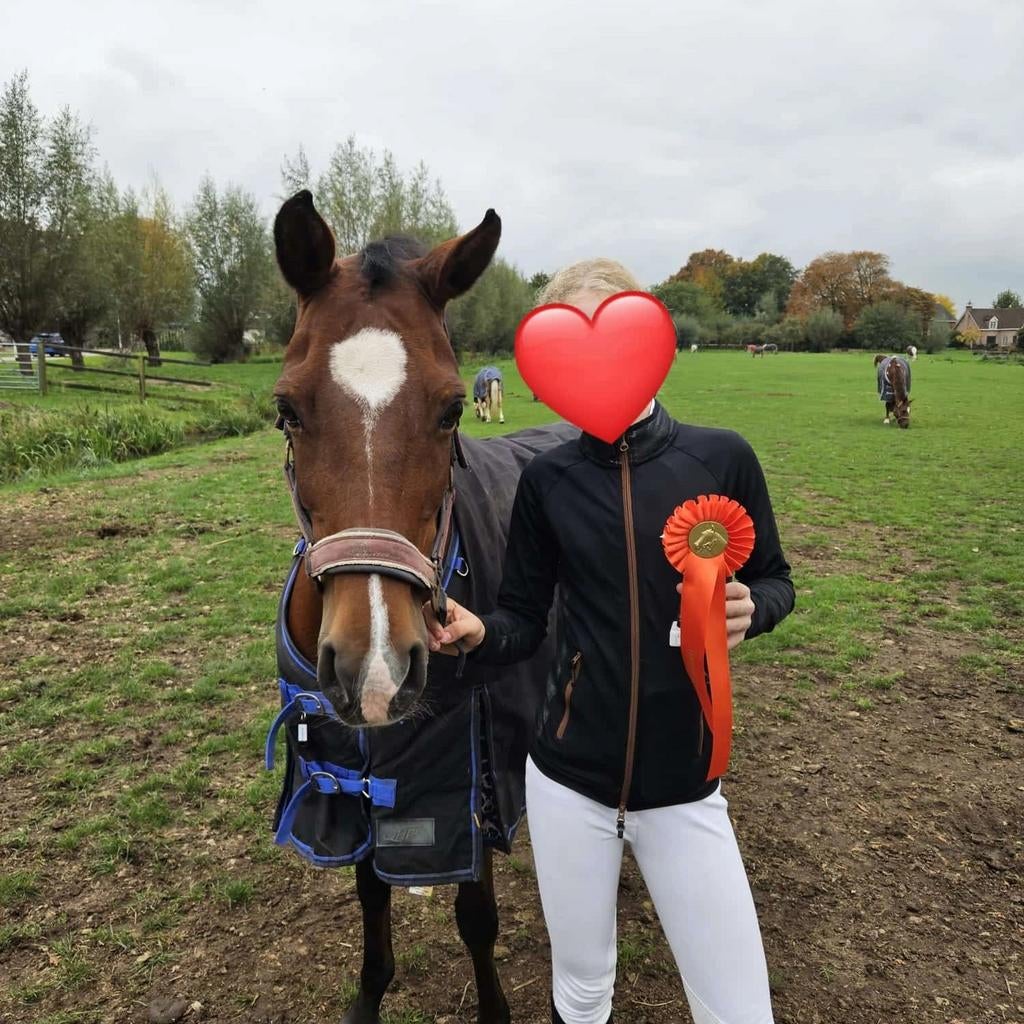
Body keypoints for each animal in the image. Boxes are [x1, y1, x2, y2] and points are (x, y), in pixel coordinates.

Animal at [268, 190, 576, 1024]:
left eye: (449, 410)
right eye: (287, 409)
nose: (375, 669)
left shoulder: (460, 773)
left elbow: (476, 912)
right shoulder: (350, 770)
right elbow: (371, 890)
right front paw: (369, 994)